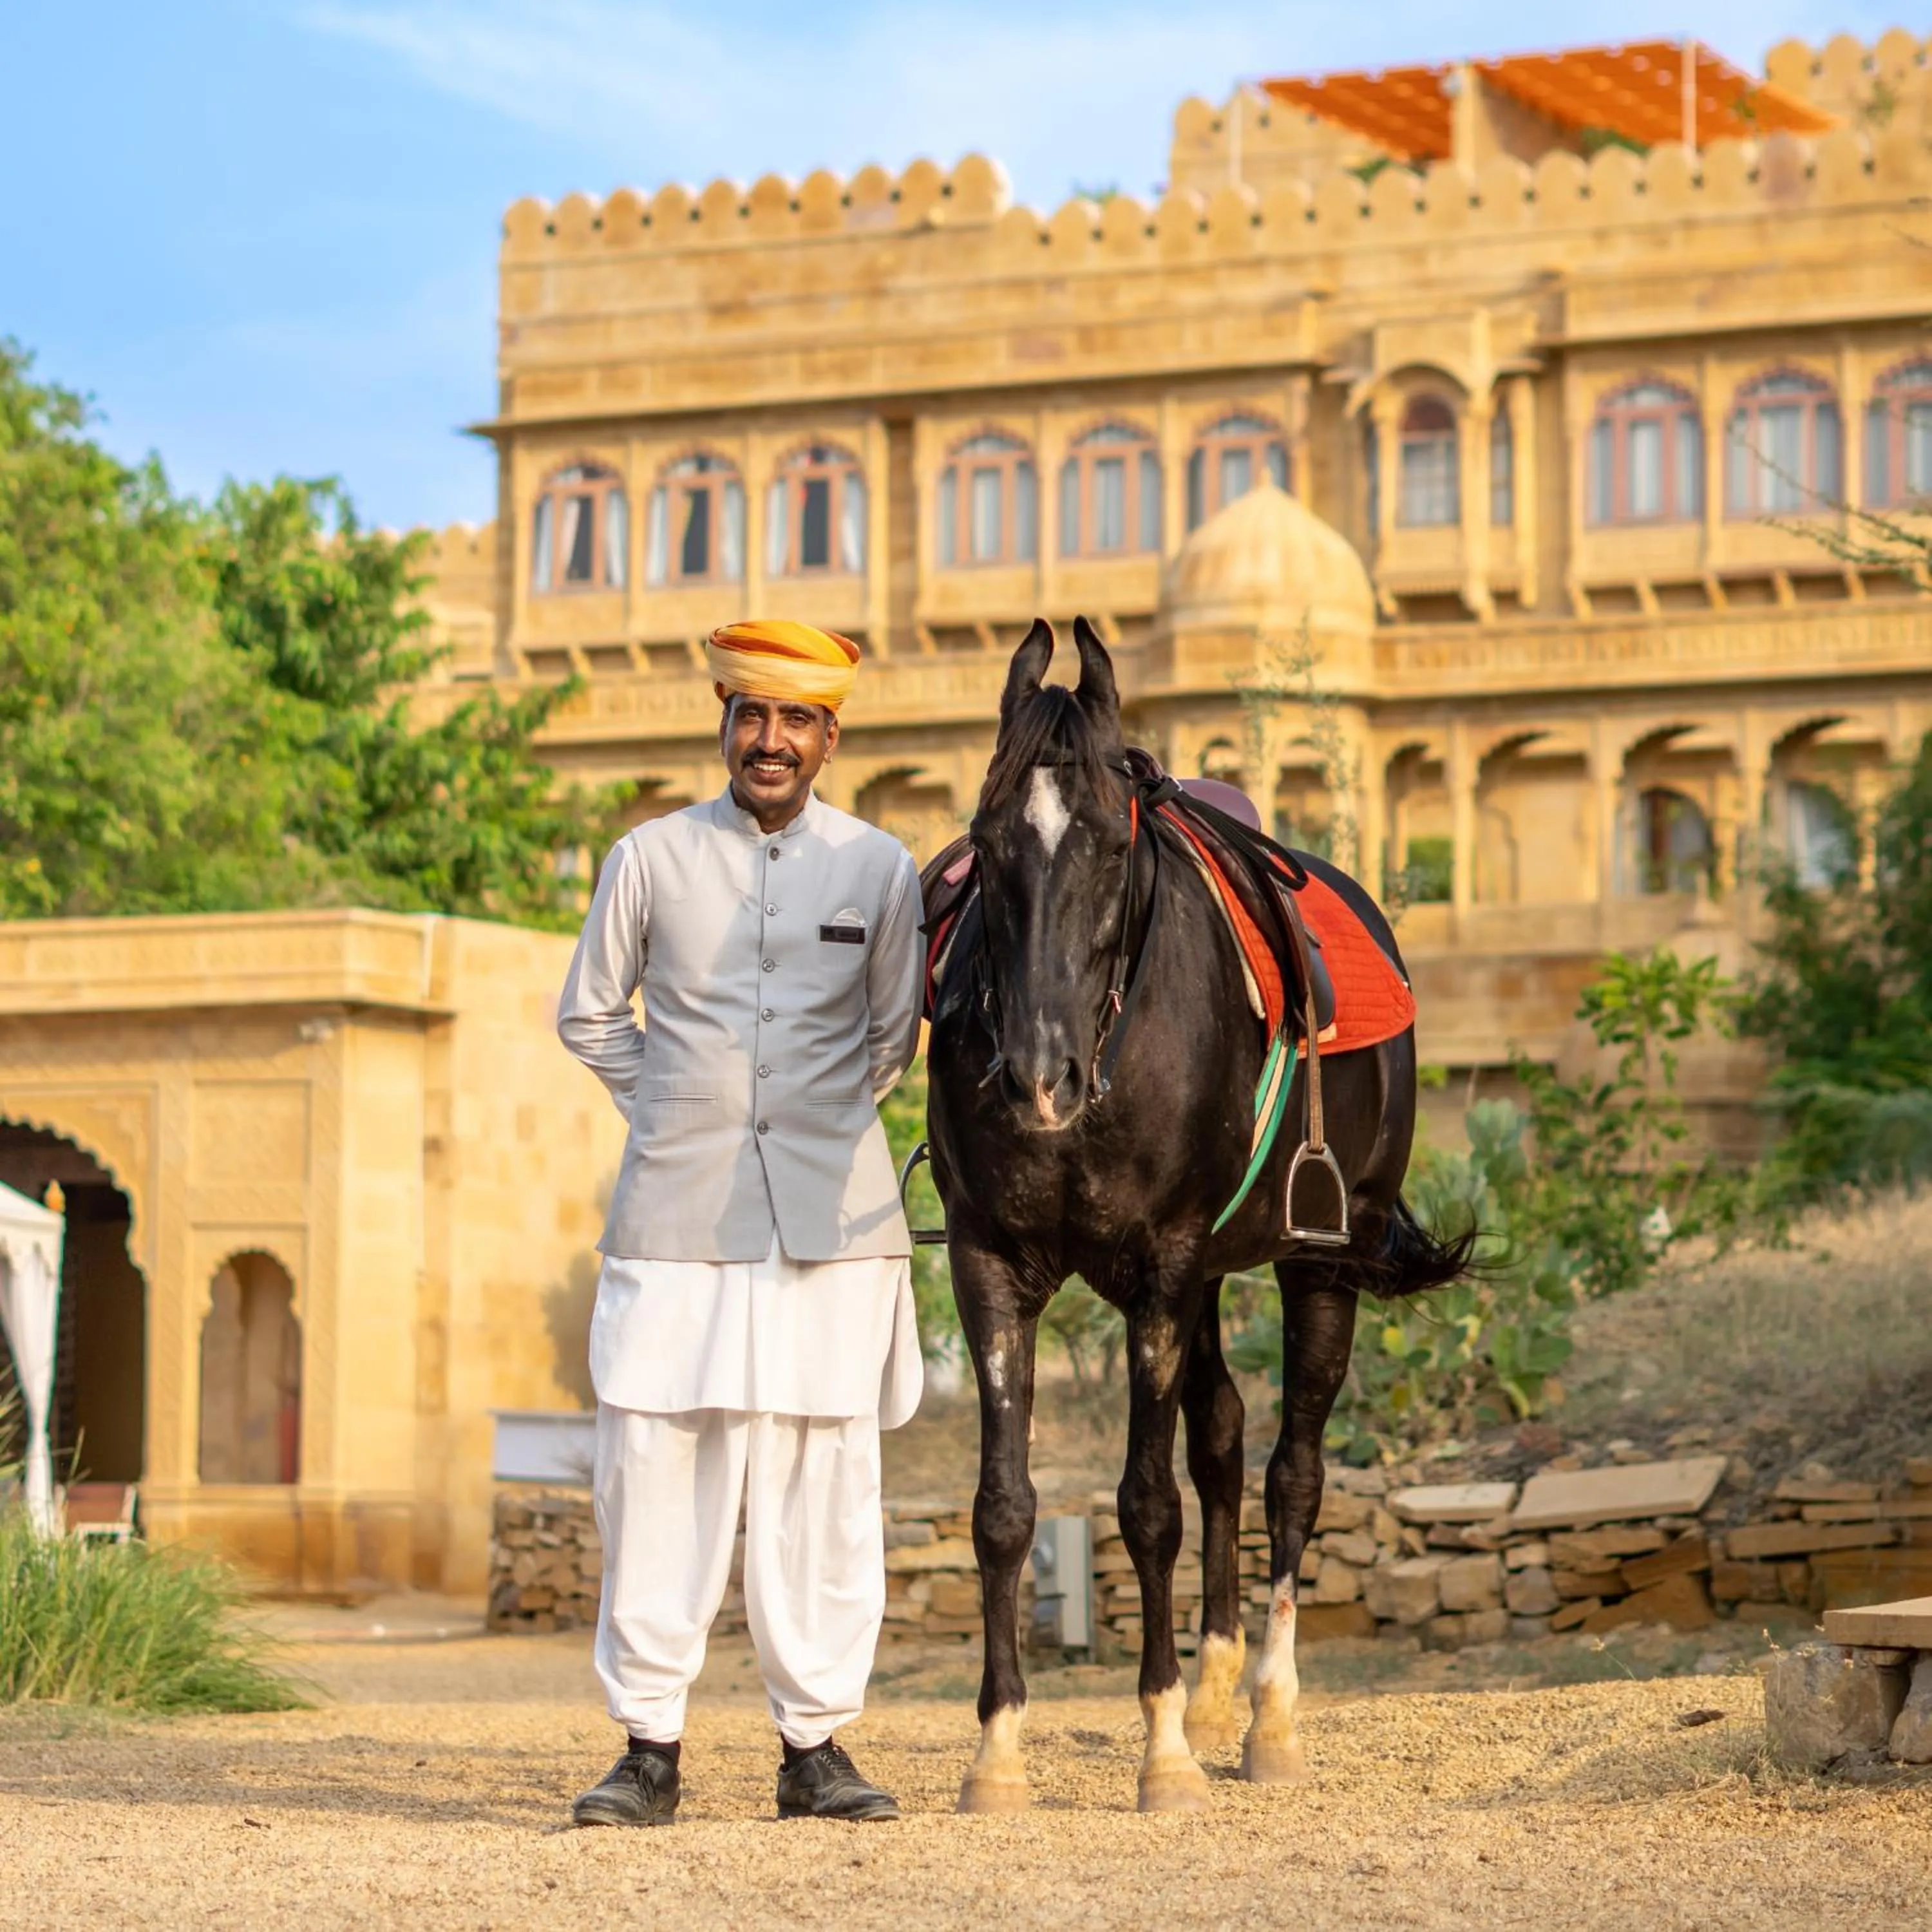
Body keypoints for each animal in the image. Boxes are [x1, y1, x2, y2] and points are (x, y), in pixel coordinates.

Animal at [923, 616, 1474, 1814]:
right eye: (987, 840)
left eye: (1110, 844)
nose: (1038, 1074)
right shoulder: (992, 1267)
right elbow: (1004, 1506)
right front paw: (998, 1751)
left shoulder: (1165, 1267)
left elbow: (1148, 1506)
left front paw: (1164, 1752)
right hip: (1217, 1274)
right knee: (1221, 1436)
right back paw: (1221, 1689)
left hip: (1321, 1263)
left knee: (1291, 1473)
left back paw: (1269, 1719)